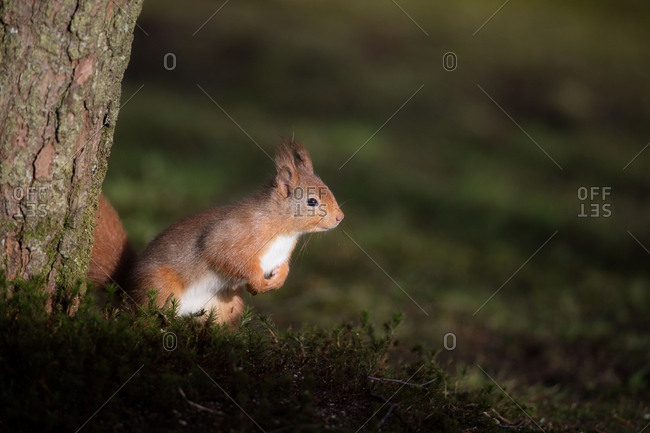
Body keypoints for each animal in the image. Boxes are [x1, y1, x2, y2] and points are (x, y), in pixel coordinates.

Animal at [88, 139, 344, 326]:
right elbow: (226, 256)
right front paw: (256, 283)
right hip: (159, 289)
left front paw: (275, 283)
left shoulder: (279, 257)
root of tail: (124, 284)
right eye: (312, 201)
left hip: (226, 306)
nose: (340, 217)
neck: (284, 231)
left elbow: (283, 270)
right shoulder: (231, 236)